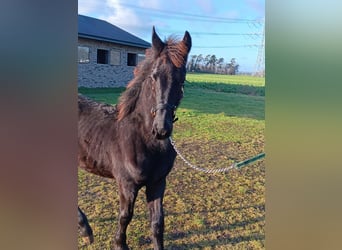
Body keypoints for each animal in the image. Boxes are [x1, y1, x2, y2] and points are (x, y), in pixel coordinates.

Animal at [78, 26, 191, 249]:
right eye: (154, 76)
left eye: (182, 79)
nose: (161, 129)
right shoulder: (127, 184)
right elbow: (125, 216)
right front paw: (119, 244)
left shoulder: (158, 183)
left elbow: (157, 222)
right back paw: (85, 229)